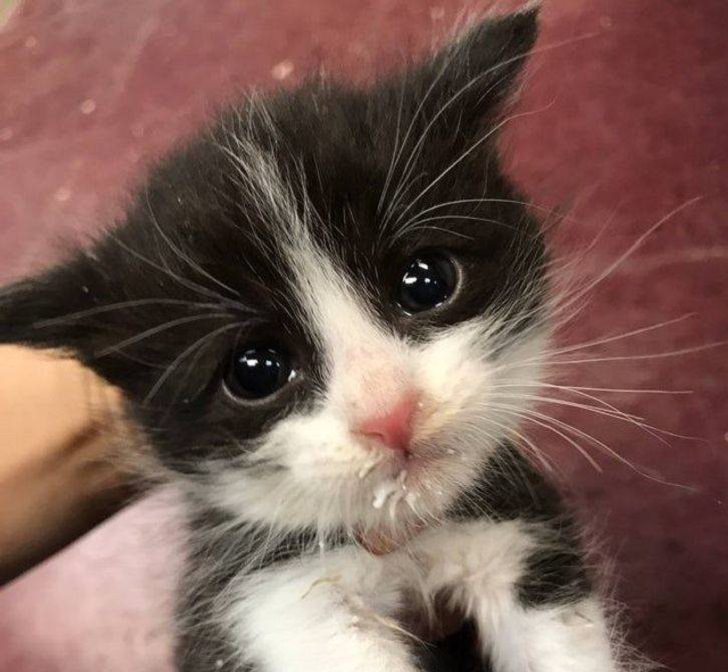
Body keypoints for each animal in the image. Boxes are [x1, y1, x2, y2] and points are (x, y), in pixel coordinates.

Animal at [0, 9, 624, 672]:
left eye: (427, 281)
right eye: (255, 369)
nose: (391, 413)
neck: (404, 539)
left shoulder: (518, 527)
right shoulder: (266, 599)